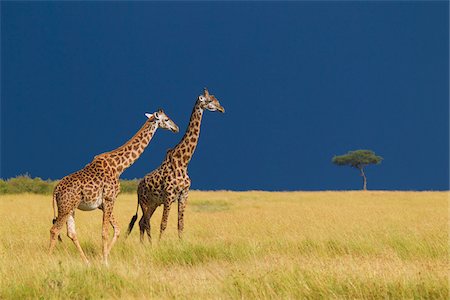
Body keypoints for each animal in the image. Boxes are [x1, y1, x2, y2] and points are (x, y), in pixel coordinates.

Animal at [47, 109, 178, 264]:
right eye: (167, 119)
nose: (176, 128)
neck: (119, 167)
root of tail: (55, 190)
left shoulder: (103, 204)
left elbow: (117, 229)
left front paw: (103, 257)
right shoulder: (110, 199)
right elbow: (105, 232)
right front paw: (105, 261)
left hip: (70, 209)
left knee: (71, 233)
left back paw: (86, 262)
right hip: (65, 208)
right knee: (54, 230)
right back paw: (48, 259)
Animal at [126, 88, 225, 243]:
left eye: (217, 100)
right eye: (209, 101)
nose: (222, 109)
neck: (183, 162)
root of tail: (138, 186)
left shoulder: (184, 194)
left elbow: (180, 224)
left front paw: (181, 243)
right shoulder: (169, 195)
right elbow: (164, 223)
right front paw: (160, 245)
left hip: (154, 203)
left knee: (142, 222)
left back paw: (144, 245)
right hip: (144, 202)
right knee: (145, 222)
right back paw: (149, 244)